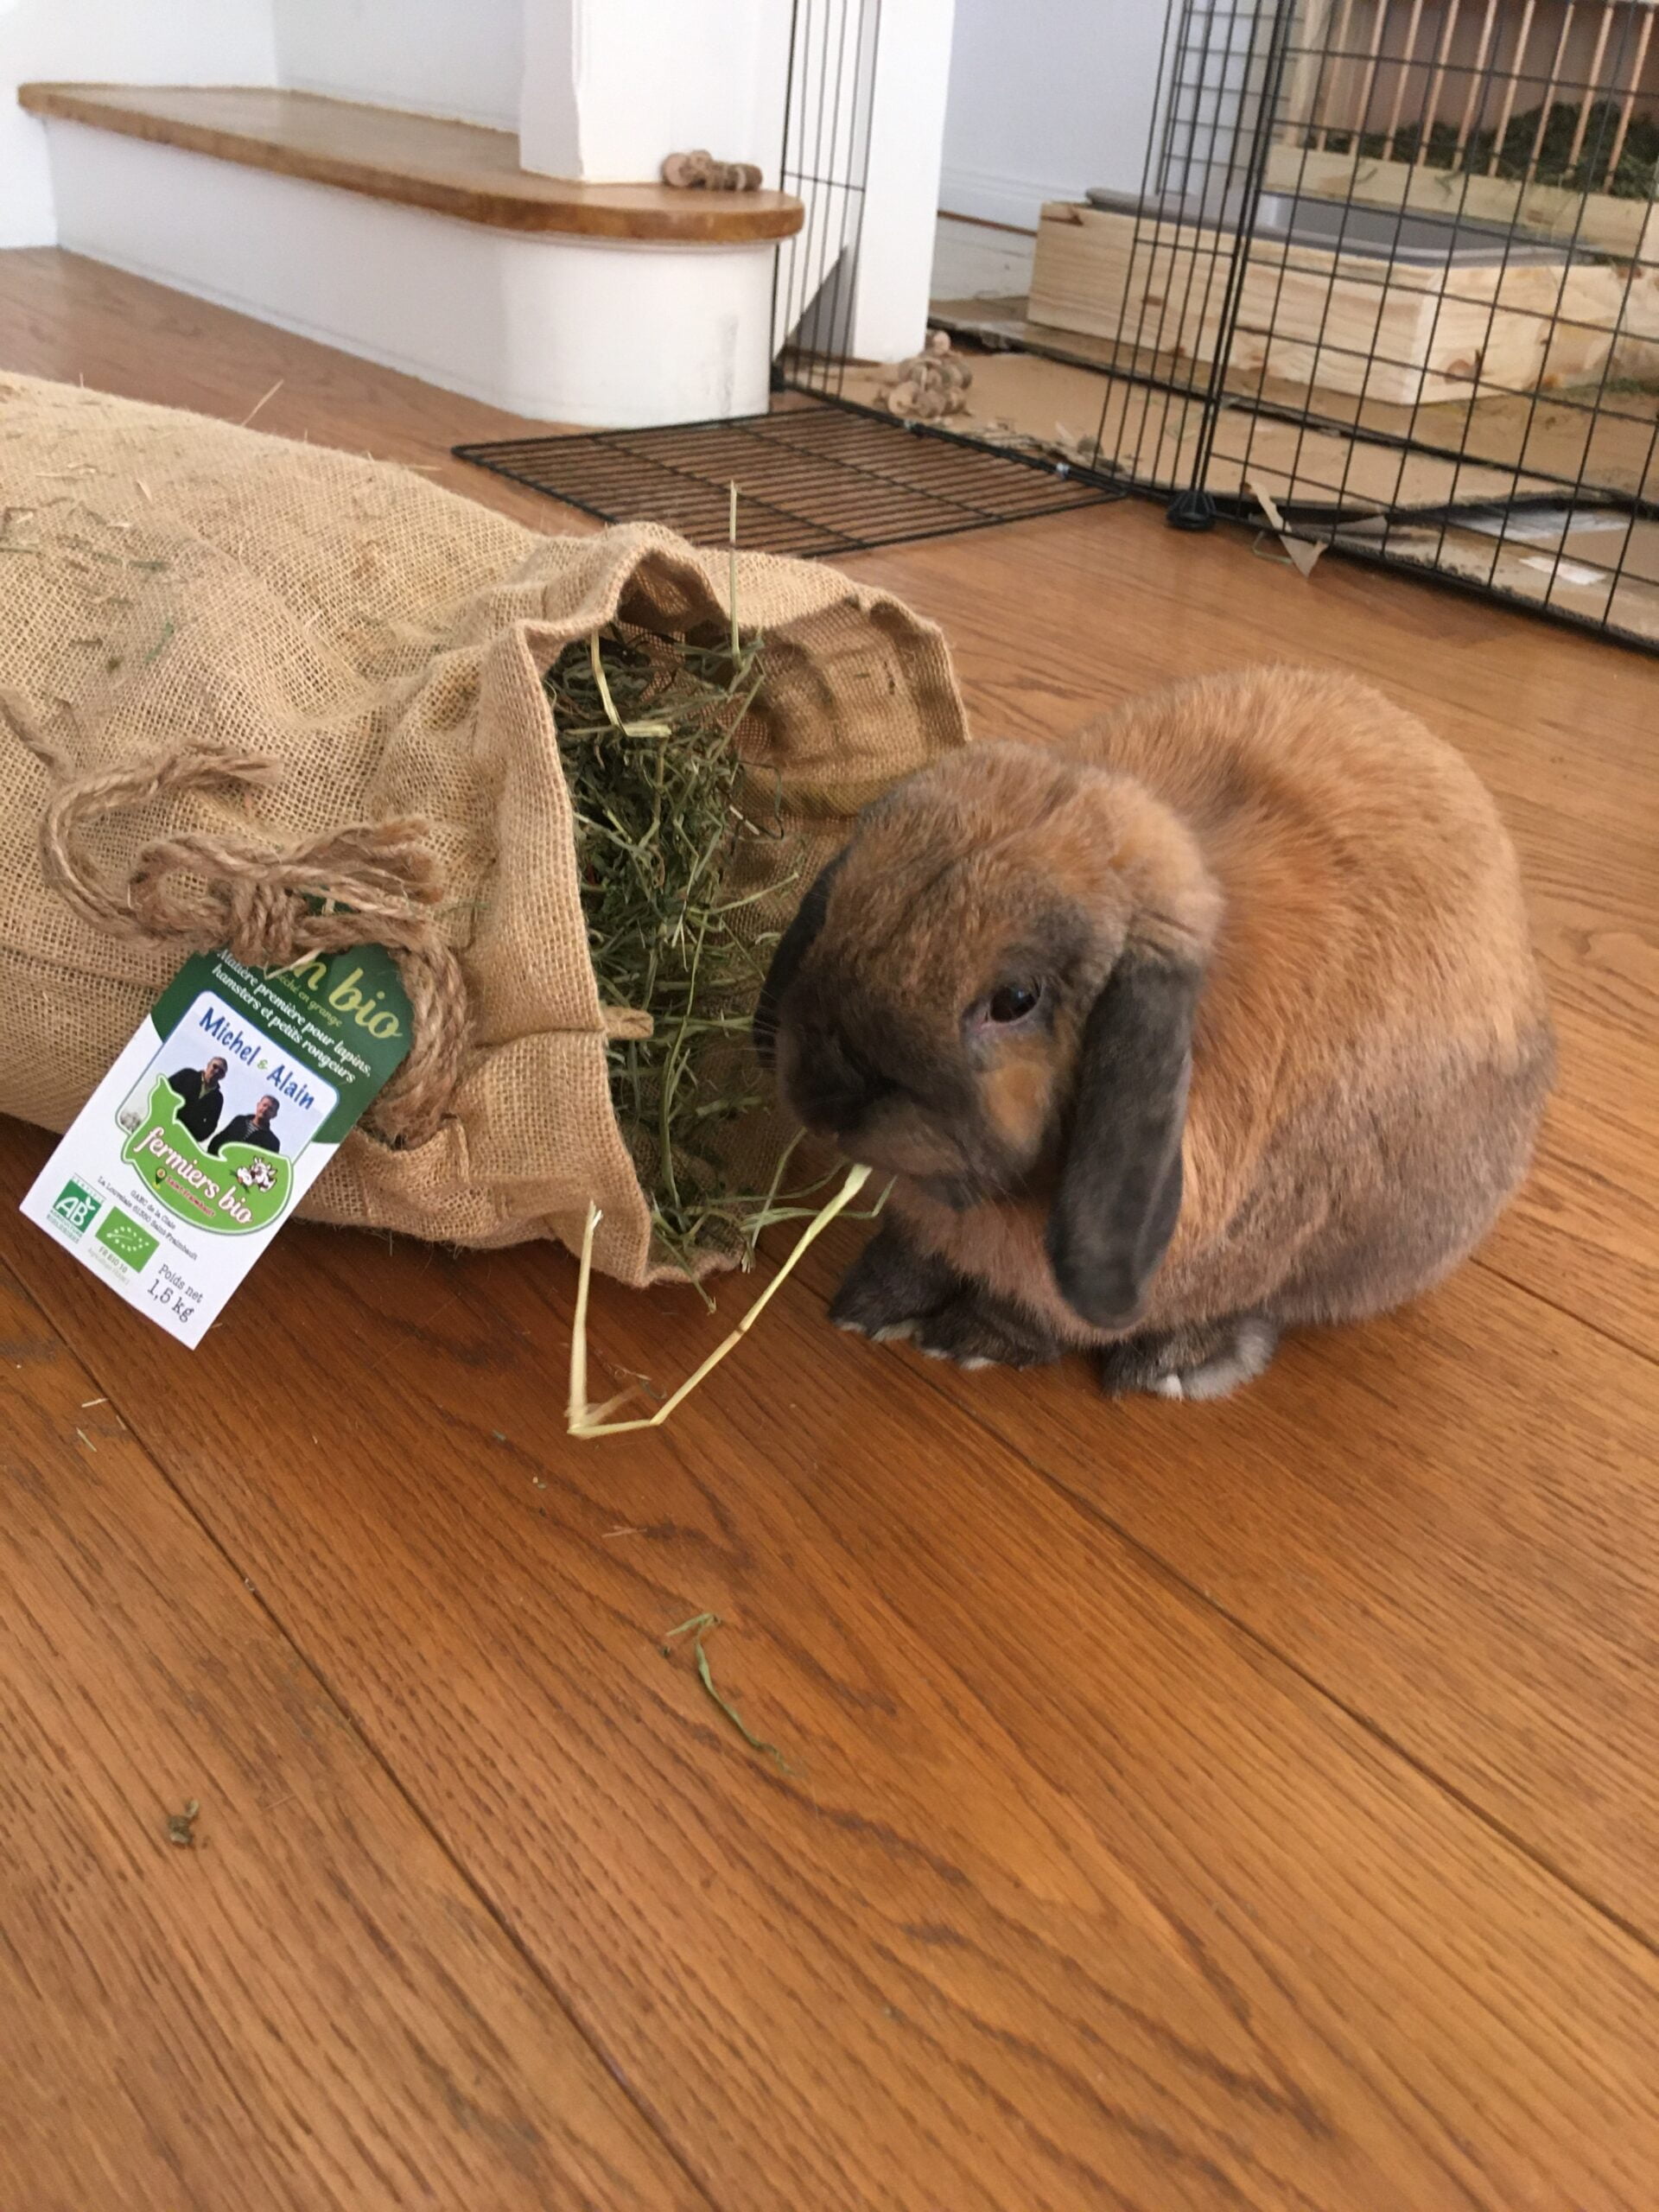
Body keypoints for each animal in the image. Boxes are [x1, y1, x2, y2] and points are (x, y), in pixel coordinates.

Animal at [755, 665, 1554, 1401]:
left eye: (1015, 1000)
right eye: (839, 906)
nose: (825, 1091)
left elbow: (1042, 1312)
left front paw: (969, 1340)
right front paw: (870, 1301)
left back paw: (1171, 1365)